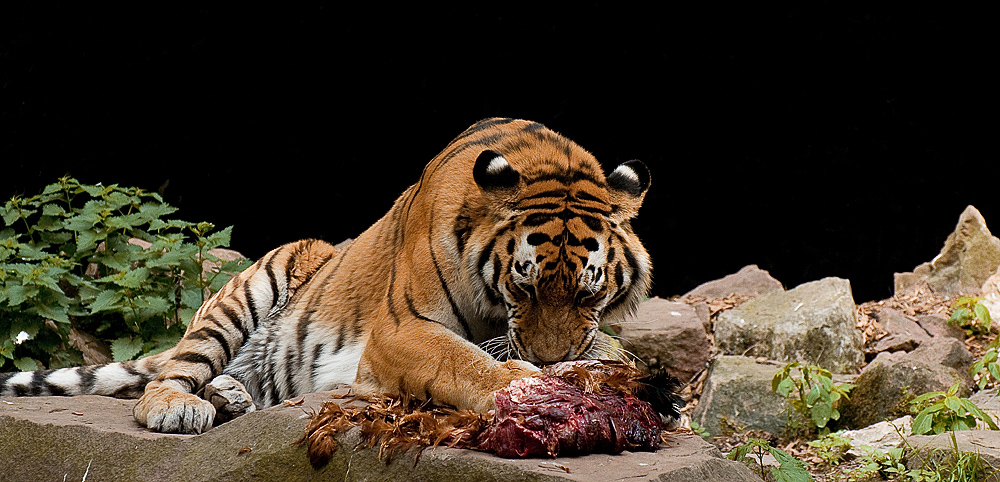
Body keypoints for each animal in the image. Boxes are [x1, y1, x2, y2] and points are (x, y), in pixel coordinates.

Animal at [0, 118, 652, 434]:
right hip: (251, 287)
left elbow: (608, 349)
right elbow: (463, 362)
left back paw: (232, 396)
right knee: (168, 377)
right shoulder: (400, 328)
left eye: (590, 292)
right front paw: (524, 385)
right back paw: (179, 407)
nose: (548, 360)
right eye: (523, 285)